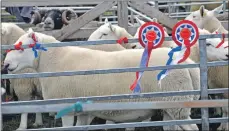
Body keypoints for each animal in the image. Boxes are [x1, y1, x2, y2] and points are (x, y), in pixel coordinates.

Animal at [3, 29, 200, 130]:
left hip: (177, 102)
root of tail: (189, 65)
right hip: (171, 105)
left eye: (22, 48)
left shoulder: (66, 107)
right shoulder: (82, 110)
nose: (5, 64)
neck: (53, 60)